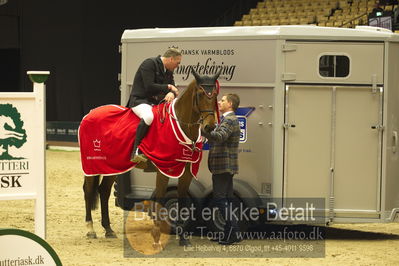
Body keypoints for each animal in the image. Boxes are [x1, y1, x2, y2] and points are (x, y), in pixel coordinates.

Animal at [80, 70, 219, 245]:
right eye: (201, 94)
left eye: (215, 94)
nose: (210, 127)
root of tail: (91, 112)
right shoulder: (164, 170)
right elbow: (160, 199)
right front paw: (157, 235)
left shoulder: (187, 171)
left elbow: (182, 200)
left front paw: (183, 237)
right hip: (92, 164)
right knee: (88, 190)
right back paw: (90, 229)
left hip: (112, 166)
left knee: (104, 191)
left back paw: (108, 229)